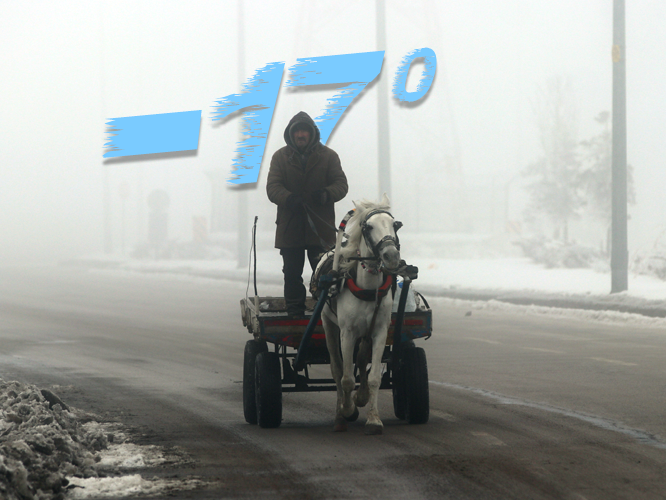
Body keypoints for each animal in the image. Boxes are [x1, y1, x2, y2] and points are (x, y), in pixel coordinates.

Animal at [320, 195, 400, 434]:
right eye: (369, 227)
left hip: (365, 334)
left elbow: (373, 377)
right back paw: (340, 417)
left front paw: (373, 418)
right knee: (337, 369)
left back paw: (361, 396)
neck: (368, 288)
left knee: (362, 359)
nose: (391, 256)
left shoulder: (379, 331)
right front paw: (348, 410)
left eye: (394, 225)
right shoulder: (347, 333)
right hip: (328, 325)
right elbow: (345, 377)